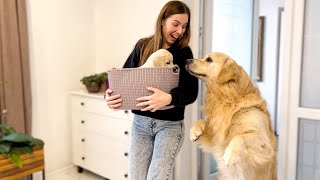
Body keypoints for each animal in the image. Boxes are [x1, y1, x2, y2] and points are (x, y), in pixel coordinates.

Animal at [186, 52, 276, 180]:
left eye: (209, 59)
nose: (187, 60)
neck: (229, 99)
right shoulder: (217, 137)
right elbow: (202, 121)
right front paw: (194, 131)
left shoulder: (264, 144)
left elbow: (240, 137)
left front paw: (230, 154)